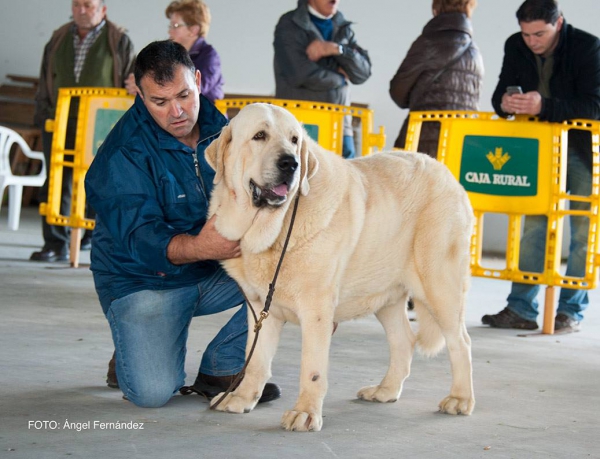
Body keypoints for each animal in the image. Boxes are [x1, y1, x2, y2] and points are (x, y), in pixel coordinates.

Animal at [204, 103, 476, 432]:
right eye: (259, 136)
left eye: (294, 140)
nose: (291, 163)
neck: (273, 229)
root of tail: (446, 173)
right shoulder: (259, 308)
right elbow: (255, 359)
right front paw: (242, 399)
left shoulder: (316, 311)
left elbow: (311, 368)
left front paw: (305, 412)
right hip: (385, 296)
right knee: (403, 341)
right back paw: (385, 390)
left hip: (439, 286)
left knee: (460, 343)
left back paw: (460, 399)